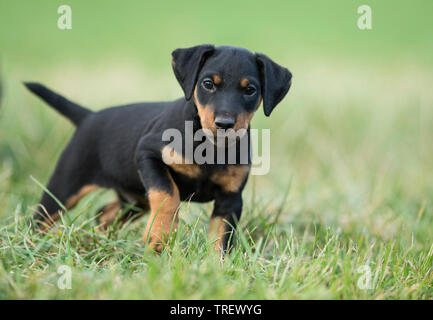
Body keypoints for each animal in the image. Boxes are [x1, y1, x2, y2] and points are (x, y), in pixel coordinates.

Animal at [25, 45, 292, 254]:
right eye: (208, 84)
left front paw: (215, 265)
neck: (208, 145)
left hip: (134, 199)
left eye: (250, 90)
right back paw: (31, 245)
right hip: (65, 187)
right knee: (40, 218)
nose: (224, 124)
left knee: (104, 213)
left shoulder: (230, 198)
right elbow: (167, 196)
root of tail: (89, 117)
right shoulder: (148, 154)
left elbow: (221, 237)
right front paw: (158, 238)